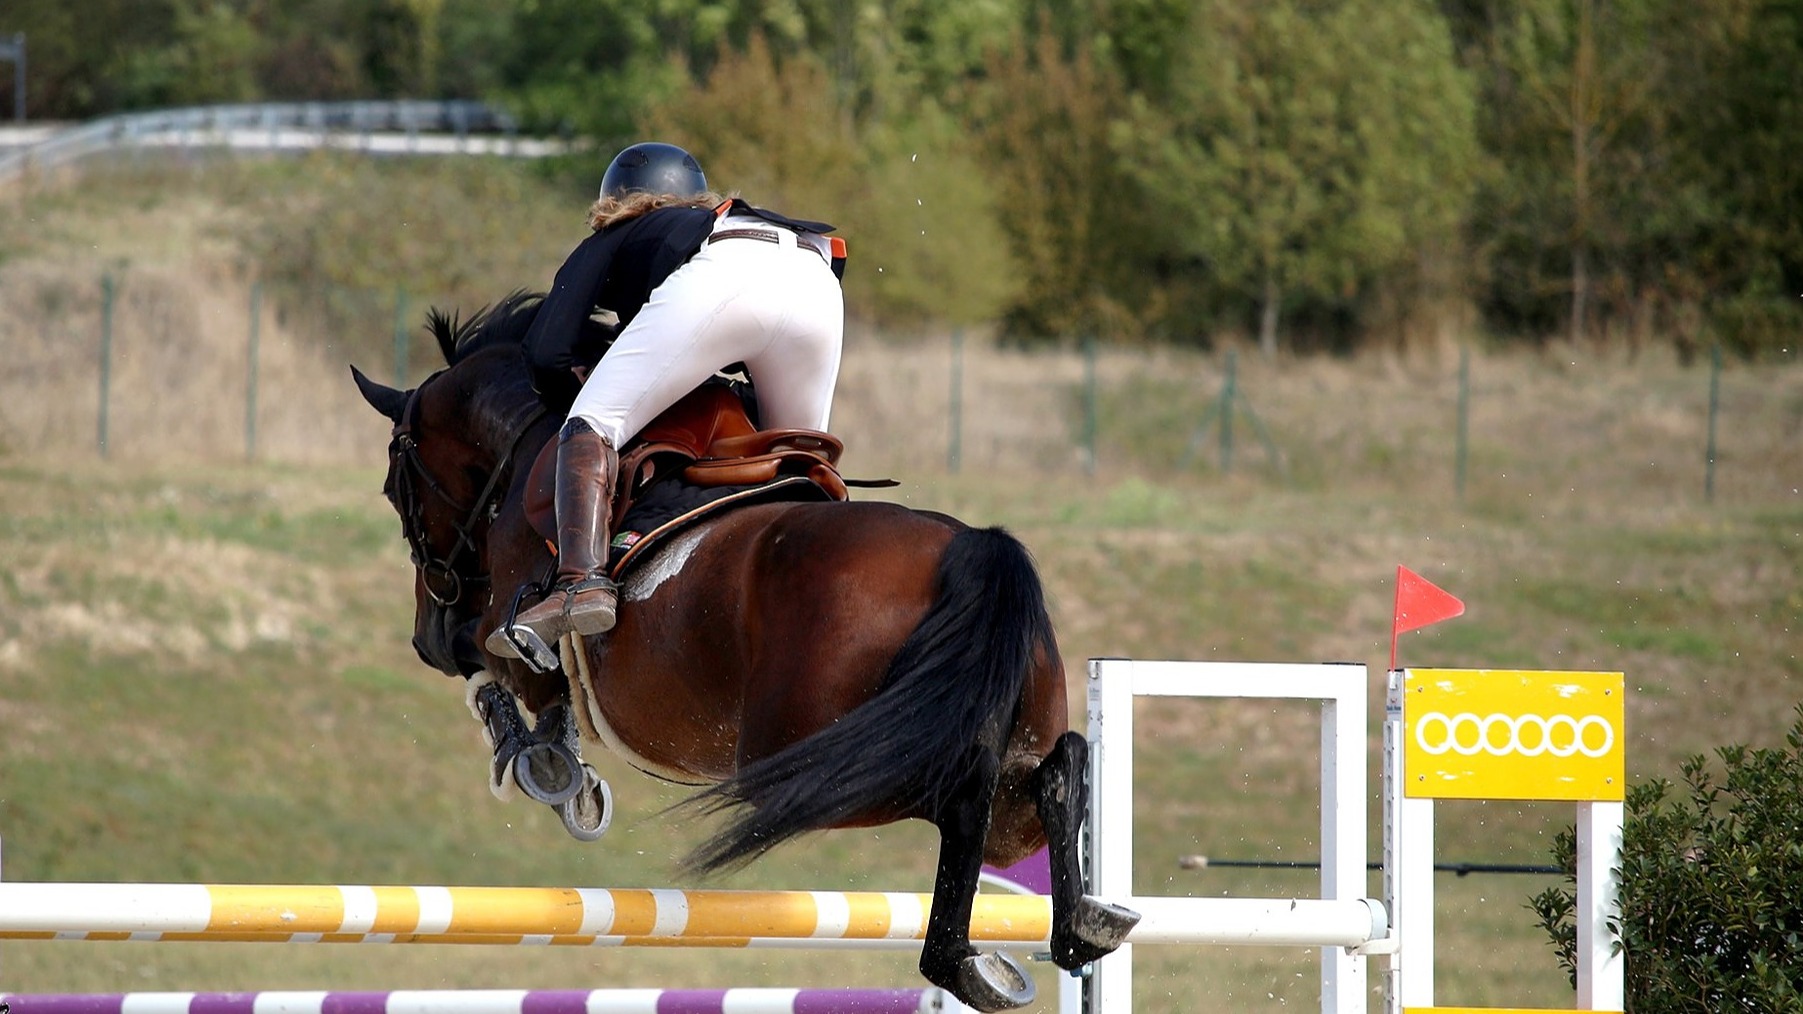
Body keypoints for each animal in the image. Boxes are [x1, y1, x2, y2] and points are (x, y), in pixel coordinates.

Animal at [349, 292, 1132, 1010]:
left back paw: (960, 961)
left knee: (962, 796)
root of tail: (970, 547)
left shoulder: (512, 633)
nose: (422, 633)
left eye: (394, 487)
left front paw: (541, 762)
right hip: (998, 772)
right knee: (1049, 774)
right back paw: (1081, 926)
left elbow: (489, 665)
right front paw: (559, 766)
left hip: (812, 765)